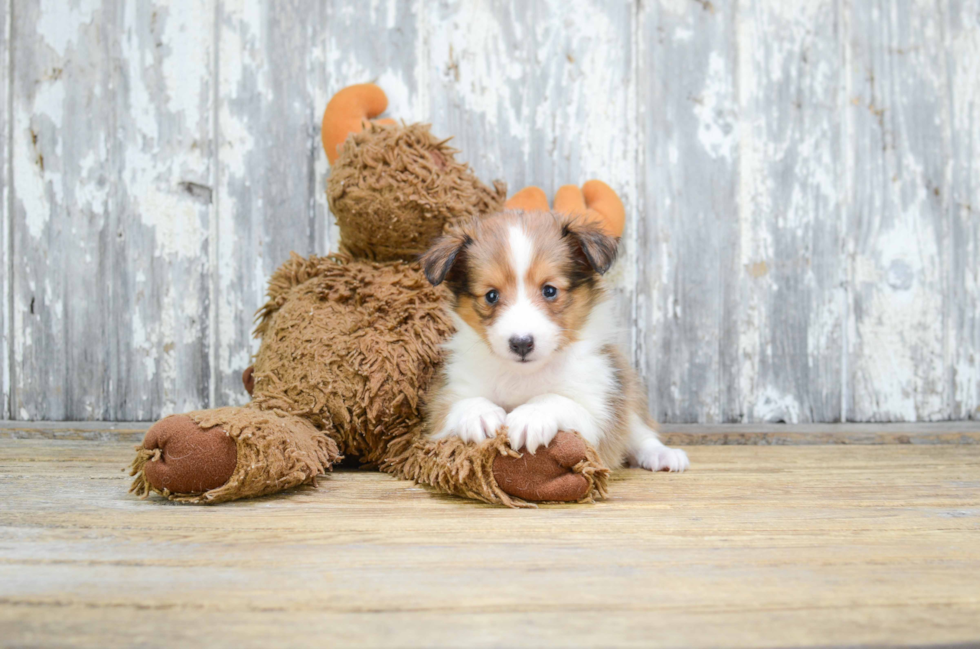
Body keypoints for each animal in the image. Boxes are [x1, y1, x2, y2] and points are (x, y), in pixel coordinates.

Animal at [420, 210, 688, 474]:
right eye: (491, 296)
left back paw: (663, 455)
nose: (521, 343)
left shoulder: (597, 412)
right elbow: (459, 404)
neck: (524, 375)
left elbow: (557, 400)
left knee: (640, 432)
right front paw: (479, 414)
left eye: (549, 290)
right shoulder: (445, 399)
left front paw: (532, 415)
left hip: (626, 394)